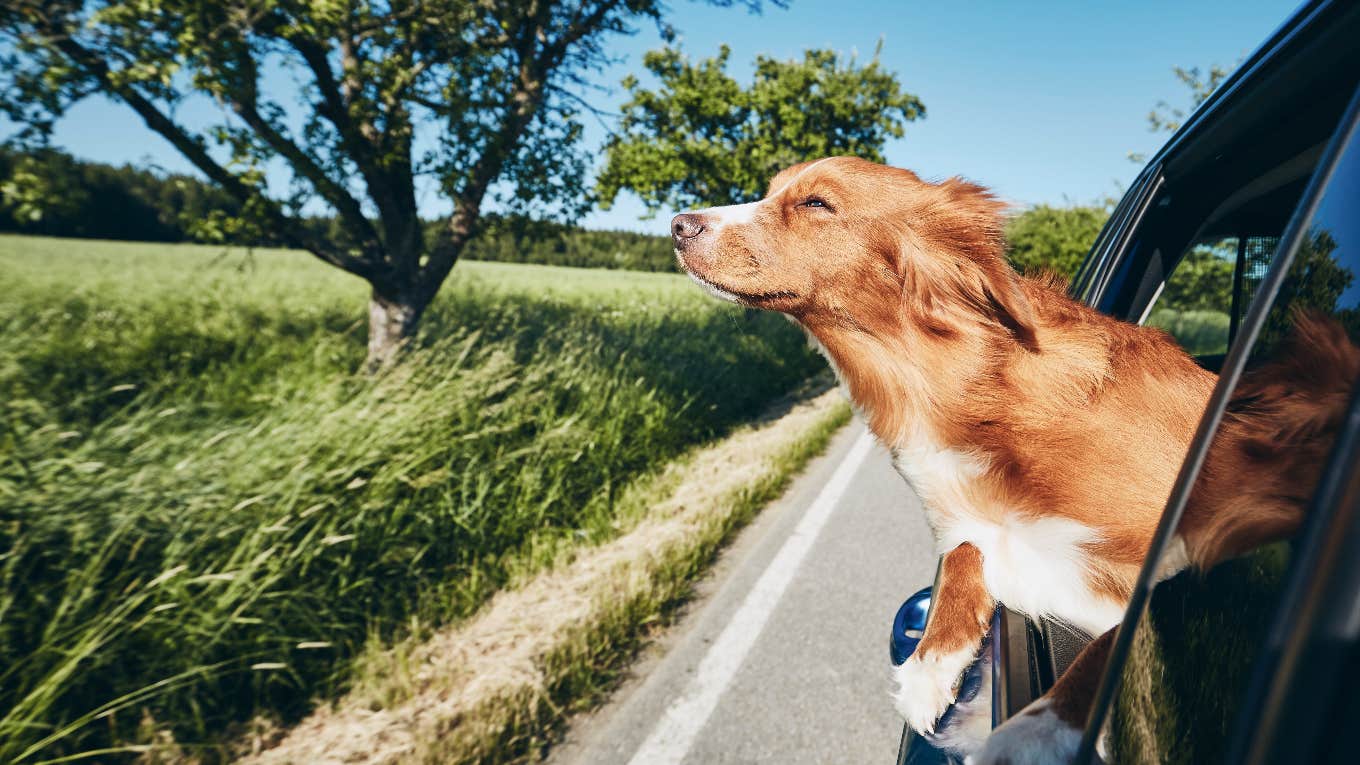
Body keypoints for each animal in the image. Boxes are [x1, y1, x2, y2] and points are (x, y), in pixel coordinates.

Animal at [666, 156, 1349, 762]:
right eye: (772, 190)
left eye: (815, 204)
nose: (678, 224)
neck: (949, 383)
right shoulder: (979, 525)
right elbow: (965, 555)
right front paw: (929, 667)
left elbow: (1118, 641)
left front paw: (1030, 733)